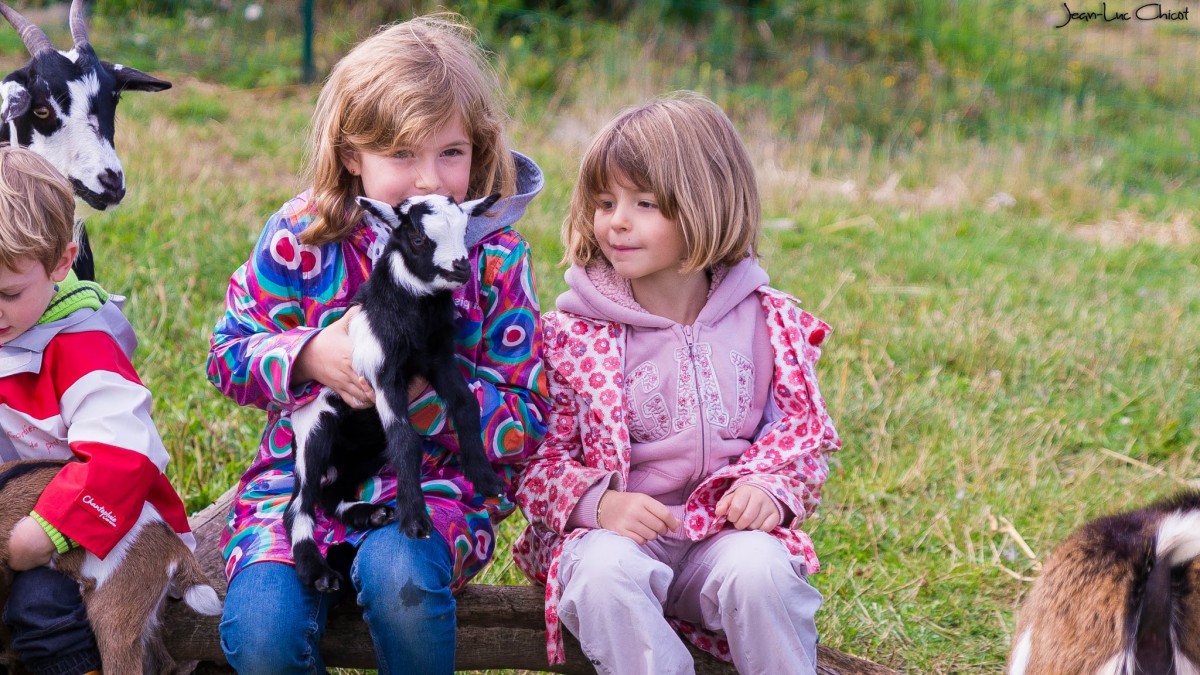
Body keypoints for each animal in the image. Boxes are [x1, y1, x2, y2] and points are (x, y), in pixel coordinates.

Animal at [285, 190, 506, 588]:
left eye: (465, 229)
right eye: (417, 239)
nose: (460, 269)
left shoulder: (439, 358)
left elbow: (467, 405)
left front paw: (486, 479)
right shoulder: (383, 374)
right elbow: (405, 438)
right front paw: (416, 521)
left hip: (365, 453)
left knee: (330, 493)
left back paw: (368, 514)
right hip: (315, 429)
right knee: (299, 503)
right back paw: (318, 571)